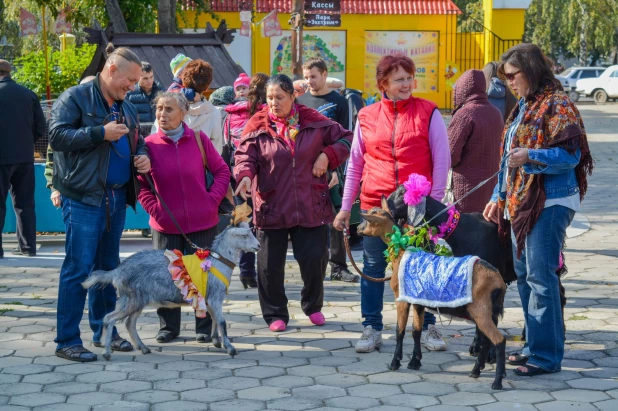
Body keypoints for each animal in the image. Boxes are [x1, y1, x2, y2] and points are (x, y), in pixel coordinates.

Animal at [80, 222, 258, 360]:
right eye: (246, 235)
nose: (258, 246)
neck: (217, 261)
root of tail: (117, 271)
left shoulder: (210, 300)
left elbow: (214, 319)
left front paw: (216, 341)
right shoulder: (215, 298)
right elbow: (221, 322)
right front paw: (231, 348)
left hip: (137, 300)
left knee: (129, 323)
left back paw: (143, 348)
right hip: (131, 299)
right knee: (109, 318)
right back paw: (107, 352)